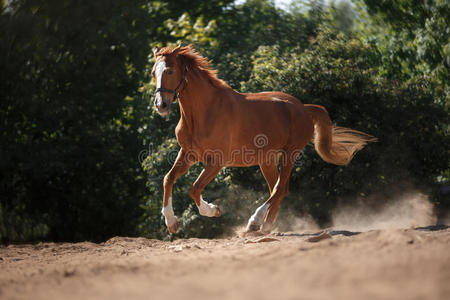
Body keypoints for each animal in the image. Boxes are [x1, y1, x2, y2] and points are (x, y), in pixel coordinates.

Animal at [151, 45, 376, 234]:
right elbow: (168, 179)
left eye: (170, 71)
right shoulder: (188, 154)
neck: (204, 112)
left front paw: (214, 210)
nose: (161, 105)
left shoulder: (216, 161)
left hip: (290, 154)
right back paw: (266, 225)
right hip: (267, 160)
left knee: (279, 188)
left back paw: (255, 222)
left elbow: (195, 188)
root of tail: (304, 108)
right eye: (154, 73)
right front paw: (172, 223)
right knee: (278, 188)